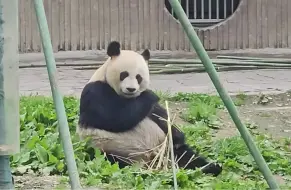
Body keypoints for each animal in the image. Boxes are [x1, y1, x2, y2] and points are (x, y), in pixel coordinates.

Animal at [77, 40, 224, 177]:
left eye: (139, 77)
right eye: (124, 74)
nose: (131, 89)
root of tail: (151, 160)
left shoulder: (152, 112)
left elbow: (161, 117)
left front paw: (178, 135)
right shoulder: (95, 92)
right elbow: (113, 117)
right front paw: (150, 95)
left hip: (166, 148)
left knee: (186, 156)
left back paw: (211, 167)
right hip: (110, 148)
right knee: (111, 159)